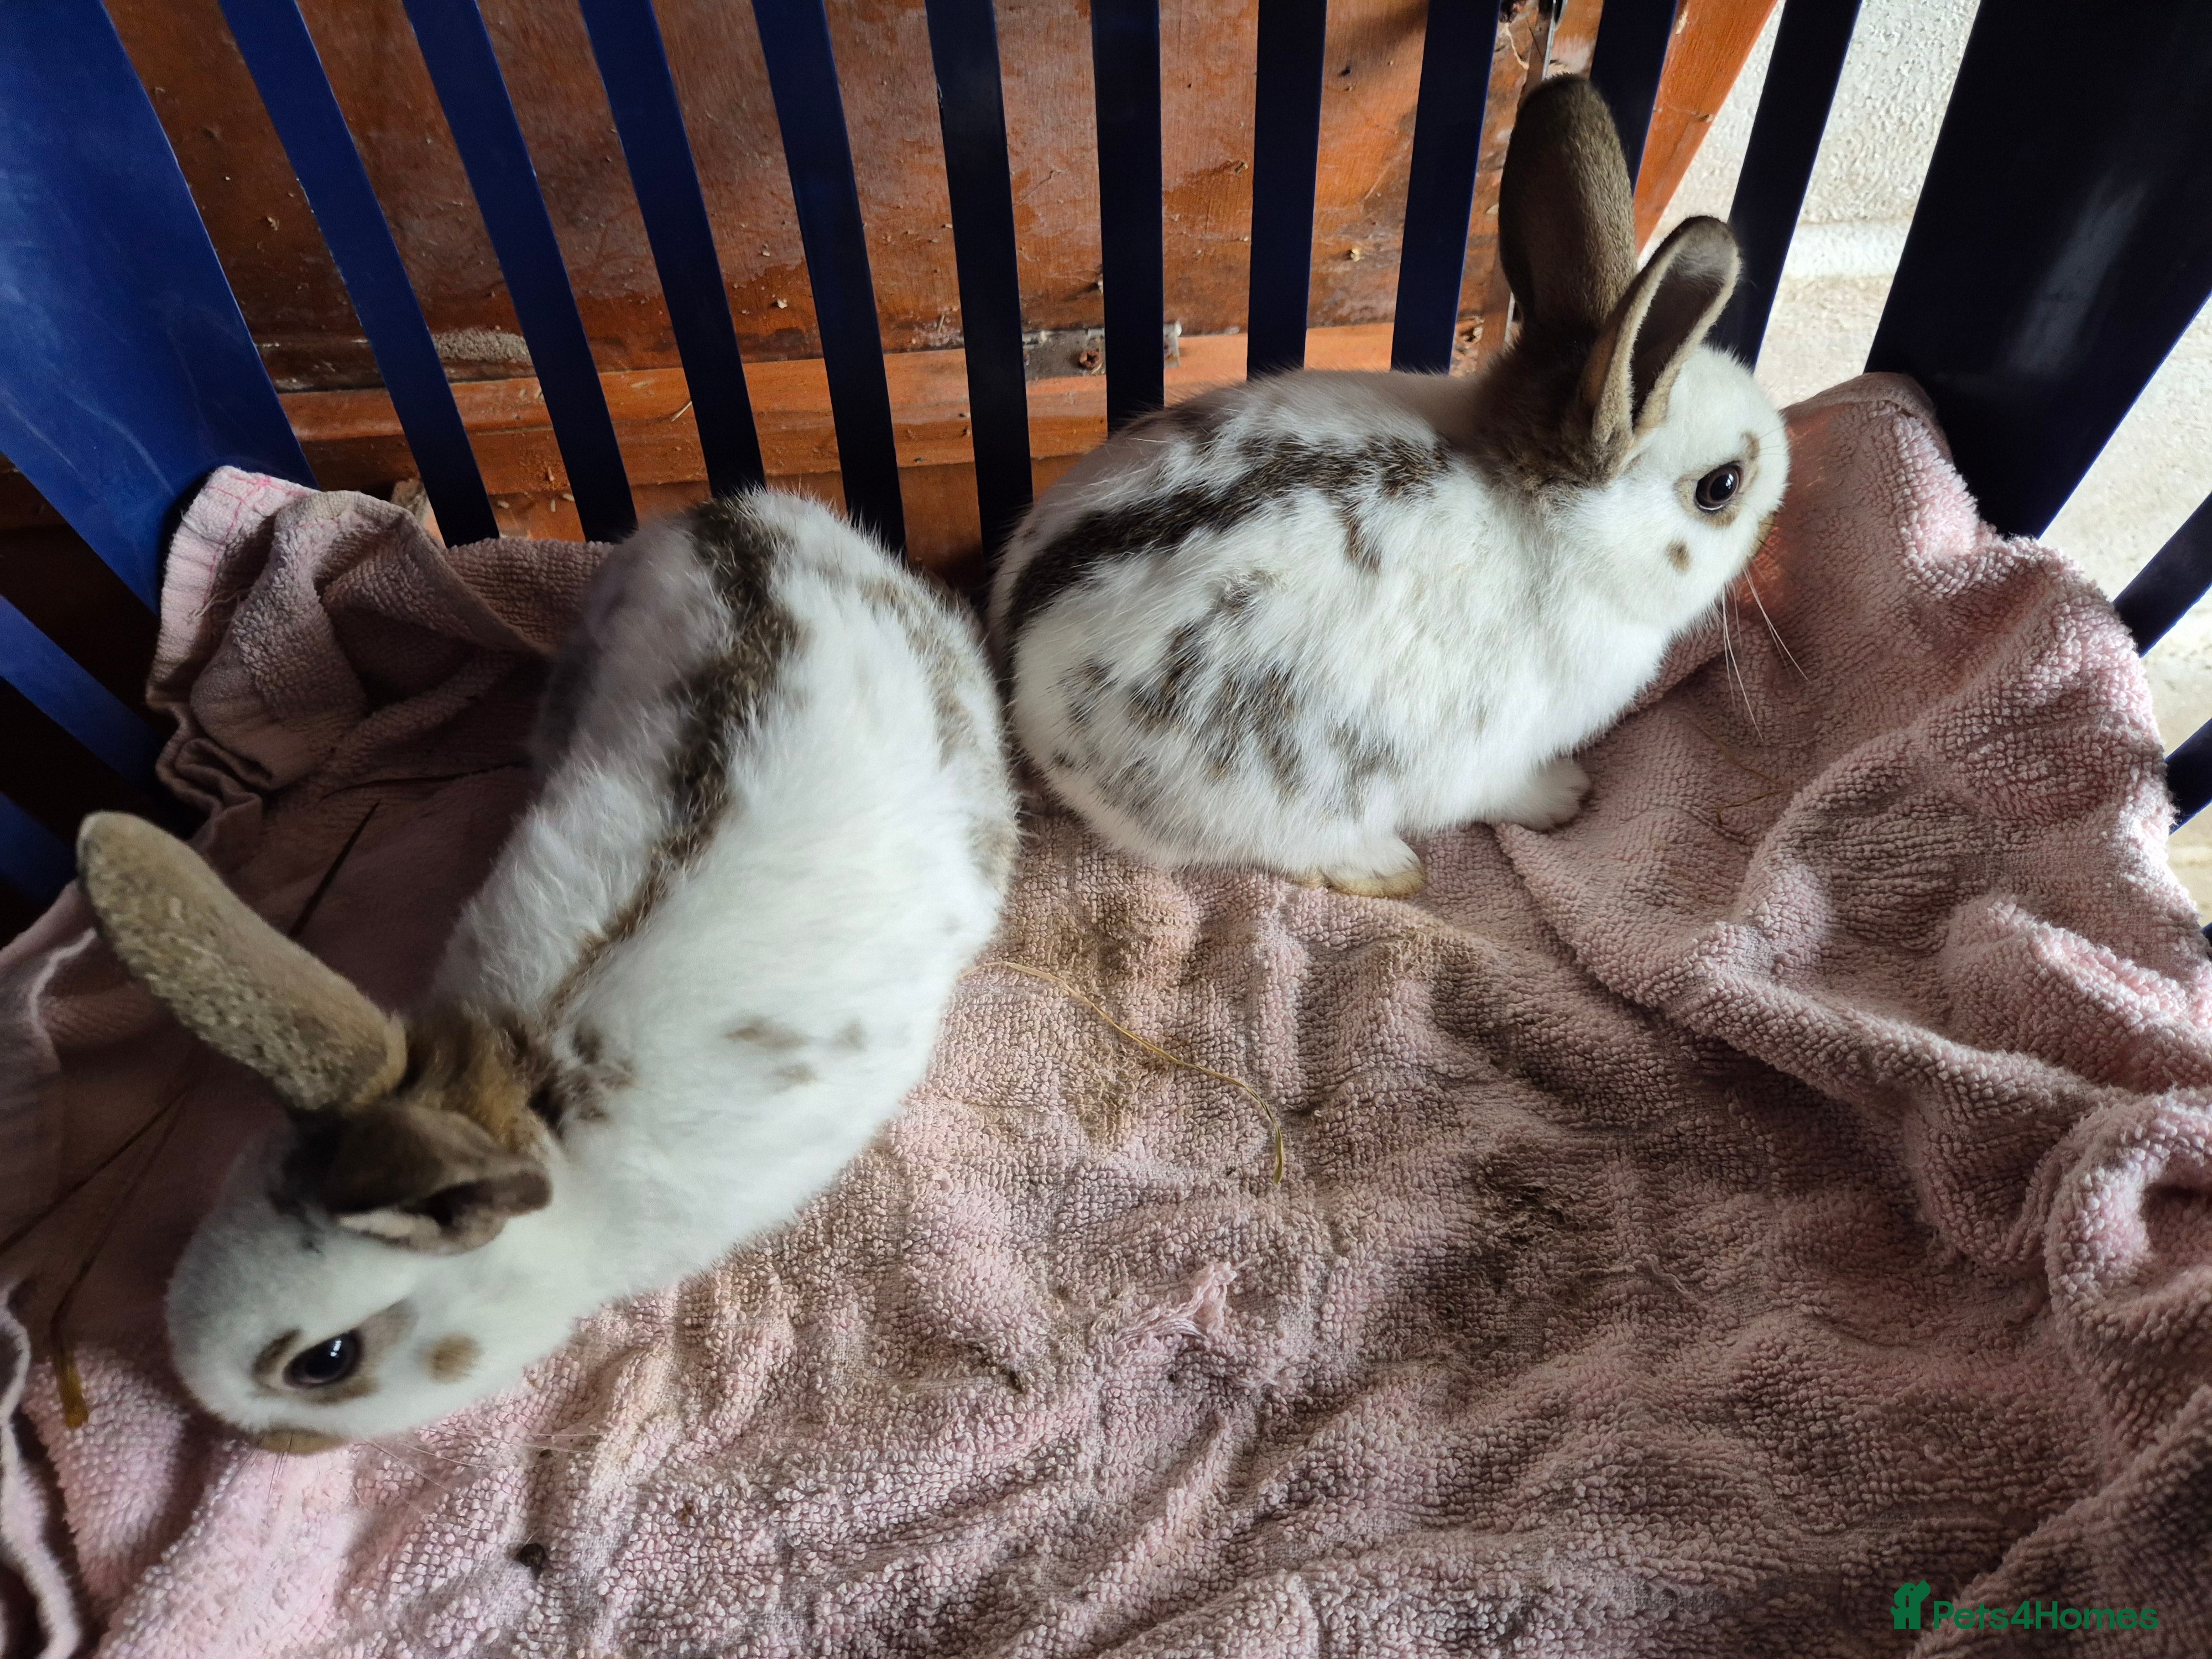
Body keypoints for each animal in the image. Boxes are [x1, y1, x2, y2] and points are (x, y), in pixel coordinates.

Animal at [987, 76, 1789, 897]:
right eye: (1722, 486)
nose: (1775, 521)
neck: (1547, 516)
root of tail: (1016, 679)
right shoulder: (1493, 757)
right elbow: (1507, 791)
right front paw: (1566, 797)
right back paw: (1385, 868)